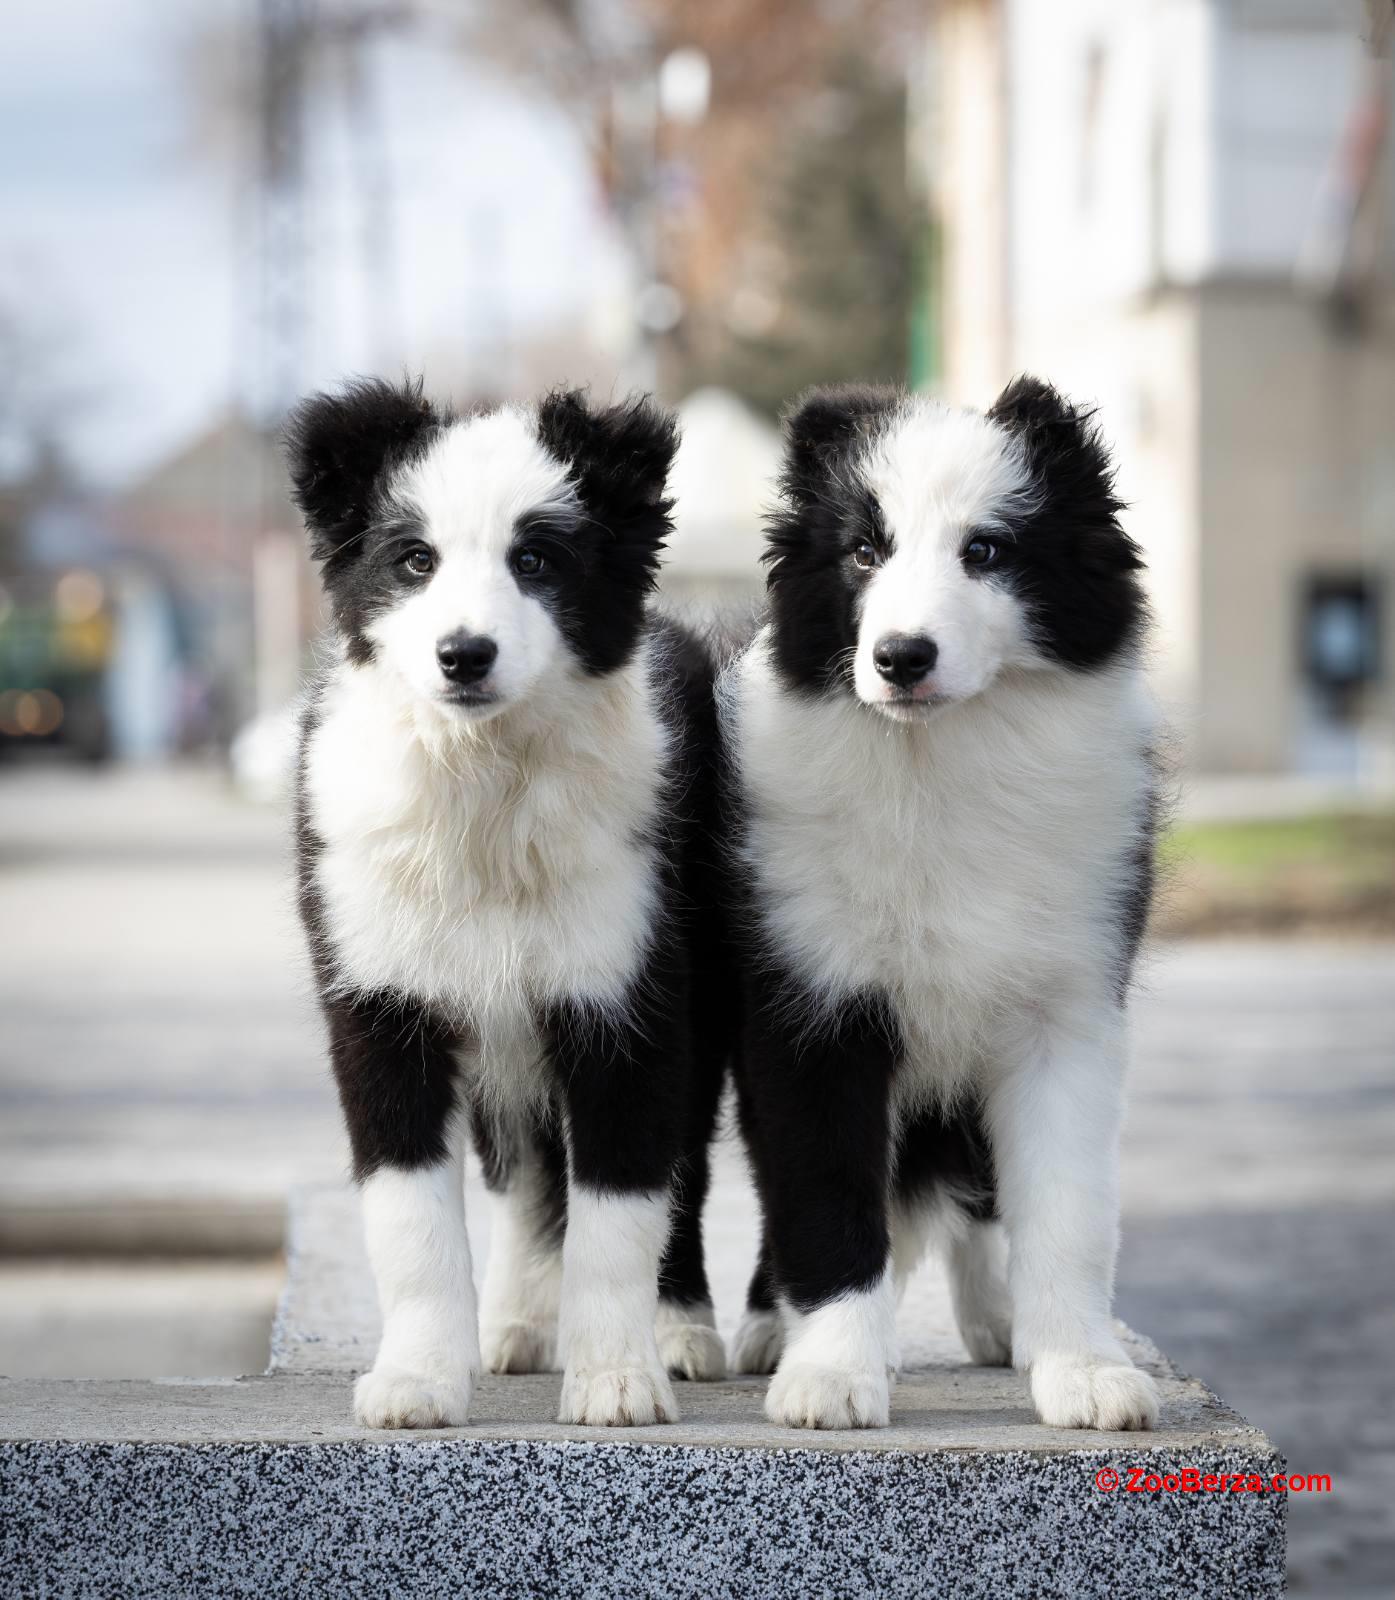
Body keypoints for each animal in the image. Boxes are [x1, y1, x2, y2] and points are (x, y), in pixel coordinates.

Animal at [291, 380, 729, 1433]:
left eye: (535, 561)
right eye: (415, 560)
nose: (464, 655)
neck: (483, 783)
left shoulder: (628, 997)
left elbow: (622, 1201)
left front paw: (616, 1380)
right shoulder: (381, 1000)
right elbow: (409, 1215)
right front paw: (415, 1381)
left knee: (680, 1168)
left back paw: (680, 1330)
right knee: (528, 1167)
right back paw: (518, 1322)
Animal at [726, 380, 1158, 1433]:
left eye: (986, 551)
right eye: (862, 552)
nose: (899, 657)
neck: (935, 763)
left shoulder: (1063, 1009)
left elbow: (1062, 1206)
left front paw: (1081, 1369)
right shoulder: (811, 1008)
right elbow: (826, 1195)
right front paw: (831, 1374)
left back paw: (1003, 1322)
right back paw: (766, 1328)